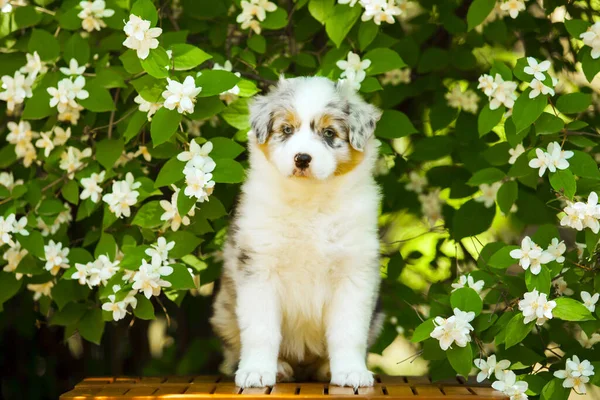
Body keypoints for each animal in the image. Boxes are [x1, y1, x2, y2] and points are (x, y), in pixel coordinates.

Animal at [209, 76, 382, 390]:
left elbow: (348, 330)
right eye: (287, 130)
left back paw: (325, 369)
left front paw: (351, 372)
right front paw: (256, 371)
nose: (302, 158)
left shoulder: (354, 272)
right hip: (223, 311)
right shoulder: (258, 267)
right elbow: (261, 329)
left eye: (329, 133)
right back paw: (279, 368)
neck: (308, 200)